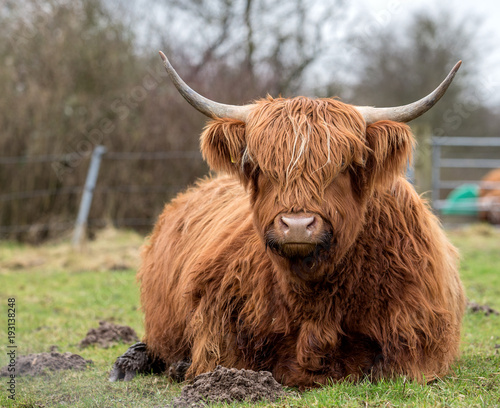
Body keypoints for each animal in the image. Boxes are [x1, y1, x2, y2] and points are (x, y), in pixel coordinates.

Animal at [109, 55, 464, 388]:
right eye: (260, 166)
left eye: (344, 167)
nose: (296, 225)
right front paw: (183, 367)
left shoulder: (417, 337)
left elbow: (386, 368)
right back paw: (128, 365)